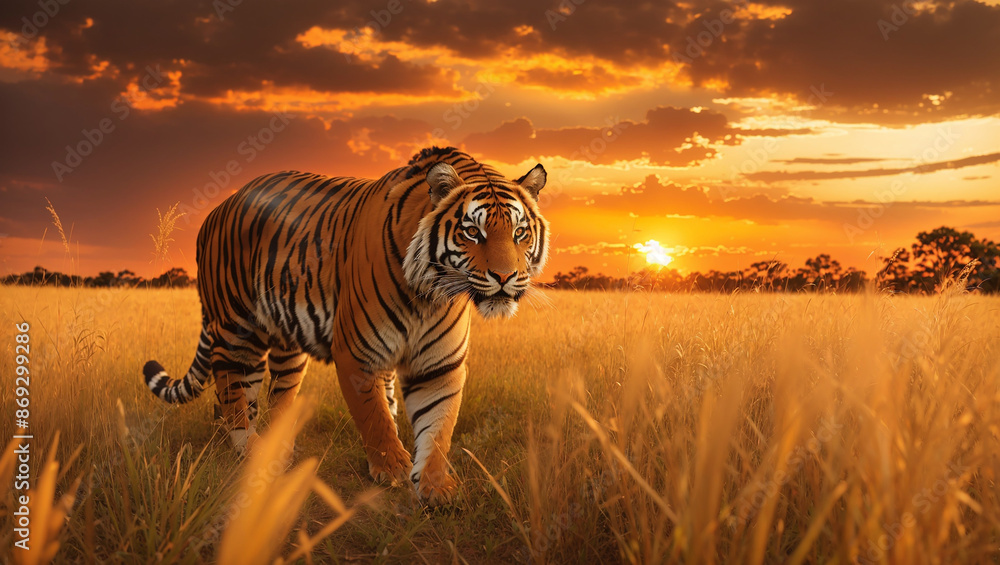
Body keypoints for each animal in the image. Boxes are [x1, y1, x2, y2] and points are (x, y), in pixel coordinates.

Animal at [141, 146, 549, 505]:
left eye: (519, 232)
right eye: (472, 232)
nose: (505, 277)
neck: (431, 294)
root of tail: (218, 208)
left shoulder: (438, 365)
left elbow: (438, 428)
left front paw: (437, 487)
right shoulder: (357, 353)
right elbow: (374, 416)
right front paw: (393, 469)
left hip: (285, 345)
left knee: (268, 393)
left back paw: (270, 449)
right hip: (235, 327)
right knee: (231, 389)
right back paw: (246, 448)